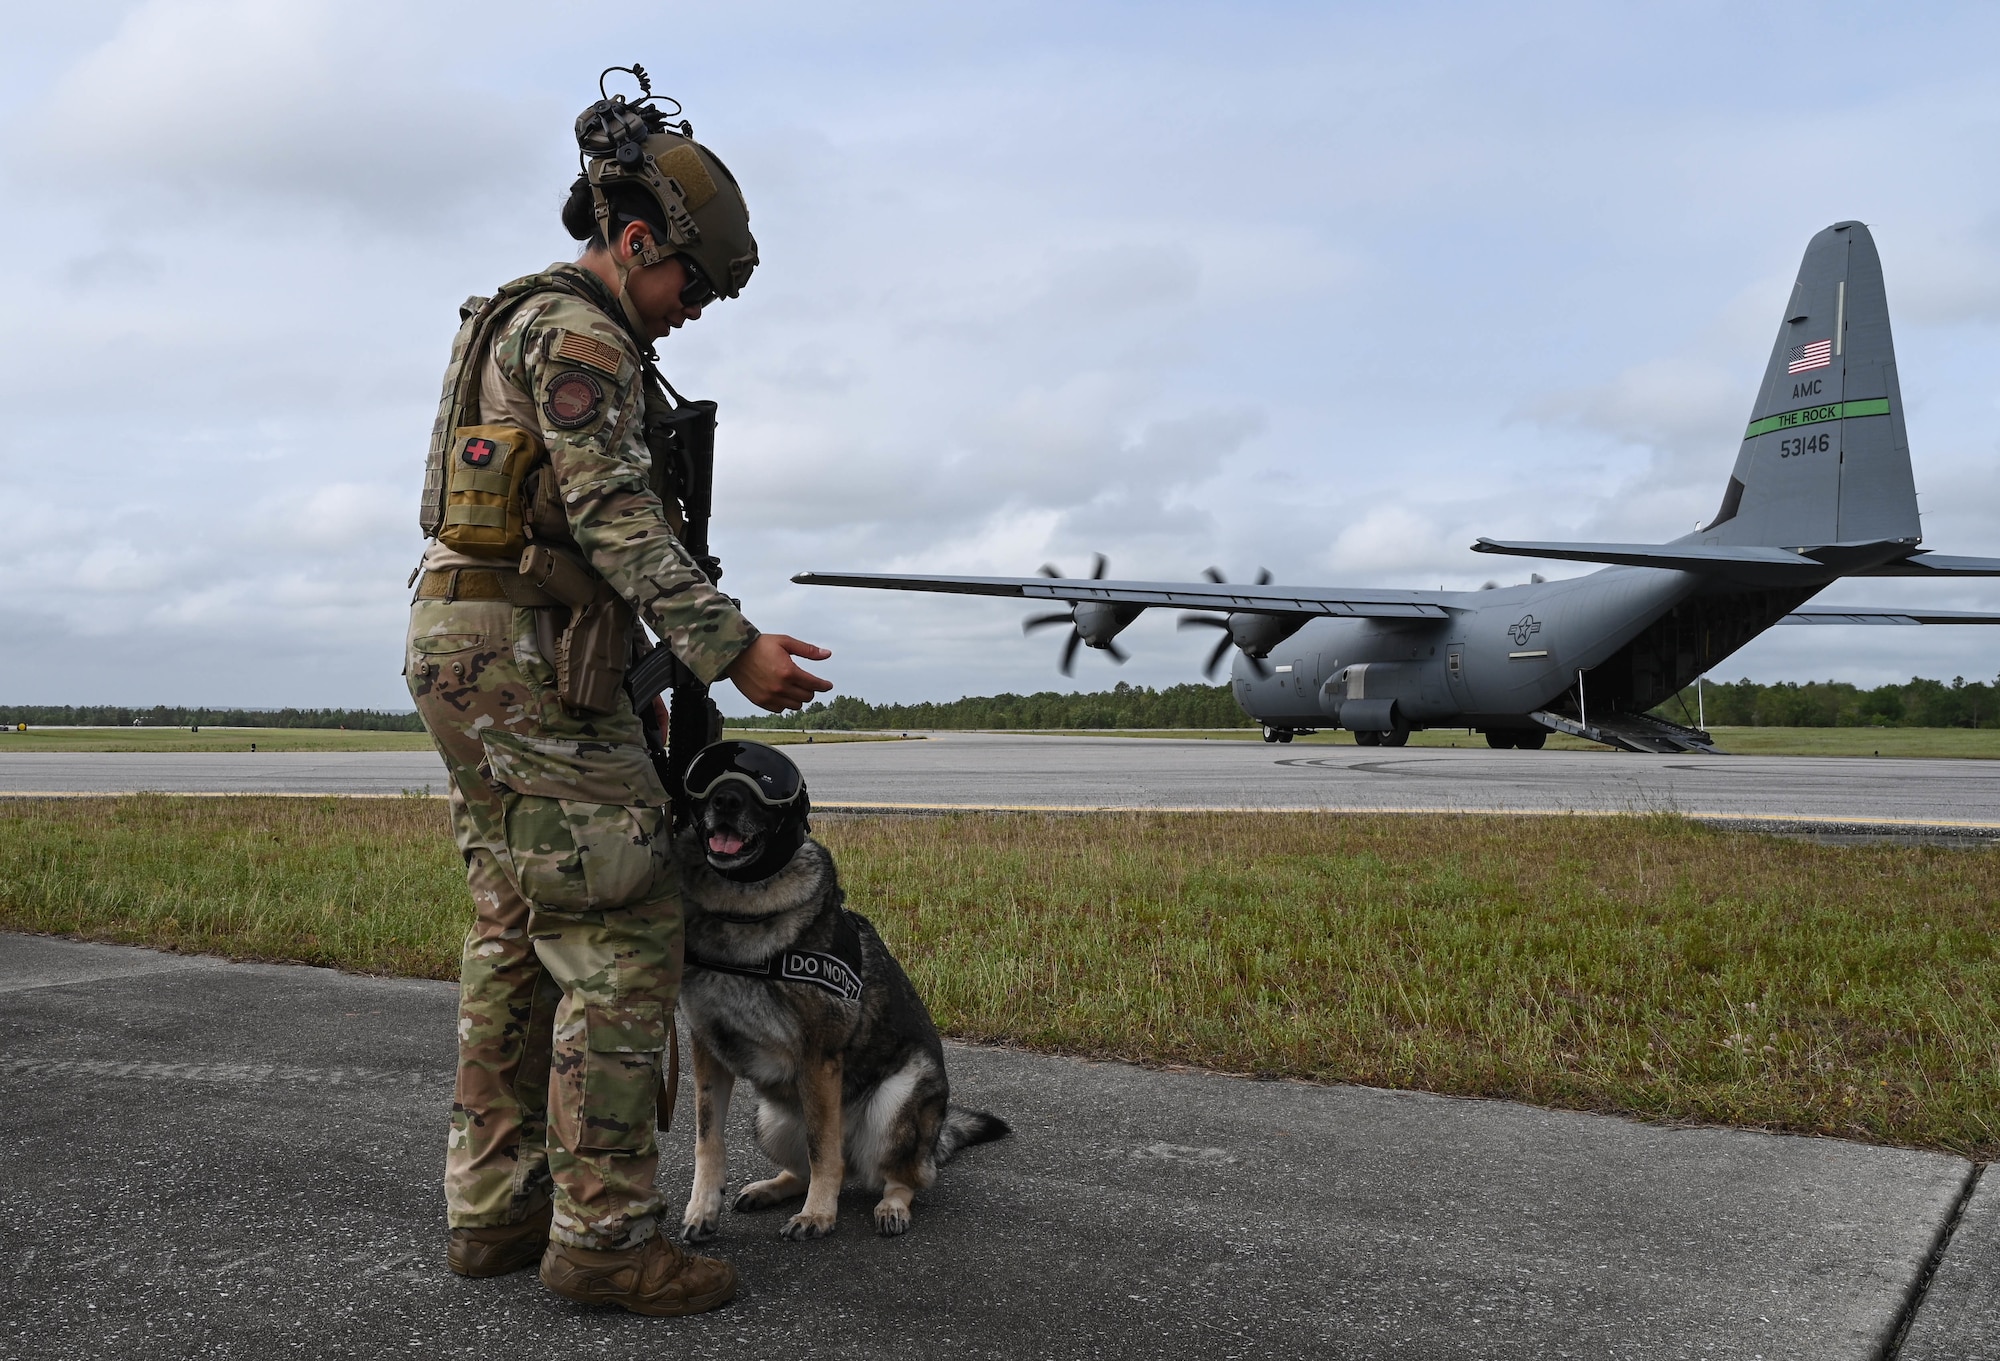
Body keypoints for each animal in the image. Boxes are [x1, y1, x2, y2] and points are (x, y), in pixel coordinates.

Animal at [676, 740, 1016, 1240]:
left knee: (901, 1176)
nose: (726, 801)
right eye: (708, 774)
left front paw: (819, 1214)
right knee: (806, 1166)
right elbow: (708, 1141)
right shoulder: (708, 1053)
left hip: (896, 1103)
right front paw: (701, 1209)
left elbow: (824, 1149)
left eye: (767, 781)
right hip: (770, 1118)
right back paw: (770, 1188)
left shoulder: (819, 1059)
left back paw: (891, 1205)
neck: (740, 914)